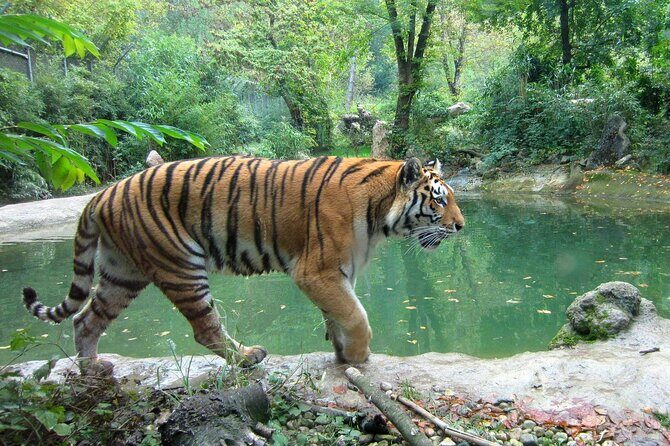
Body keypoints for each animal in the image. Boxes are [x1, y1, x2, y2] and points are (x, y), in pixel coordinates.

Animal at [22, 156, 464, 371]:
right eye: (439, 199)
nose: (461, 226)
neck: (378, 213)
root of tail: (102, 194)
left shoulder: (337, 273)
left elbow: (339, 313)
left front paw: (341, 352)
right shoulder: (316, 270)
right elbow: (355, 314)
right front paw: (357, 357)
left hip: (122, 272)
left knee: (85, 319)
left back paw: (92, 370)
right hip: (181, 265)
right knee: (205, 329)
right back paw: (247, 357)